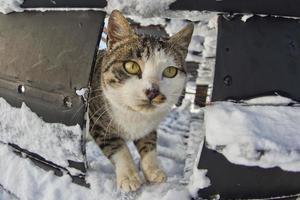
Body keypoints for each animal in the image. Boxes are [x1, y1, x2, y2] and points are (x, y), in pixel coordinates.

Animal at [89, 9, 193, 192]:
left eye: (170, 71)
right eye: (131, 66)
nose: (152, 91)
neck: (134, 115)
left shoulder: (149, 126)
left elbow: (149, 143)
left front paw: (153, 170)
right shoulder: (98, 120)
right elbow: (118, 146)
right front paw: (129, 177)